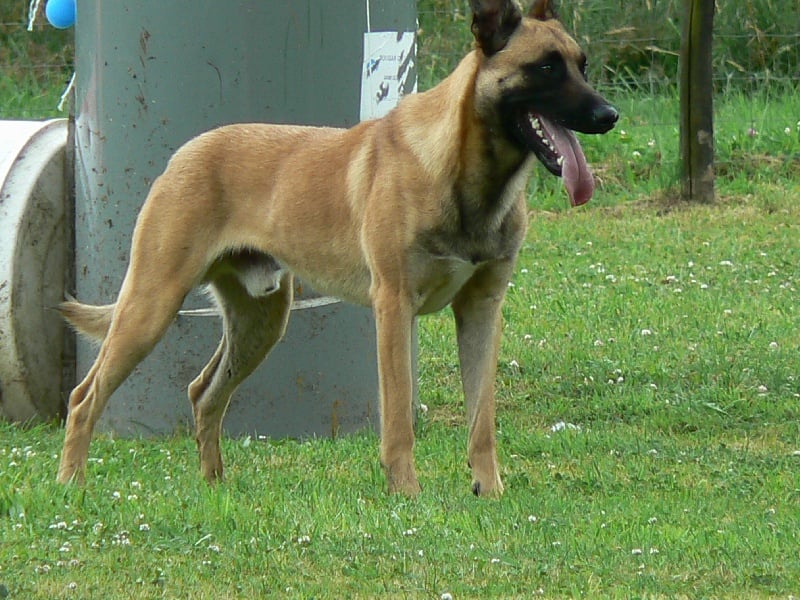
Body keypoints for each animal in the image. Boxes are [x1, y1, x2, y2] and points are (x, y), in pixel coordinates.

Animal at [57, 0, 618, 496]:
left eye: (582, 64)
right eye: (545, 67)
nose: (609, 115)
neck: (463, 175)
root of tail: (184, 152)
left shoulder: (481, 309)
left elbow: (482, 418)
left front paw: (490, 491)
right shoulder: (393, 307)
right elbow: (398, 419)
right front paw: (406, 495)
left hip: (261, 321)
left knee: (203, 394)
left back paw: (214, 487)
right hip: (151, 305)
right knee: (85, 396)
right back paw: (71, 486)